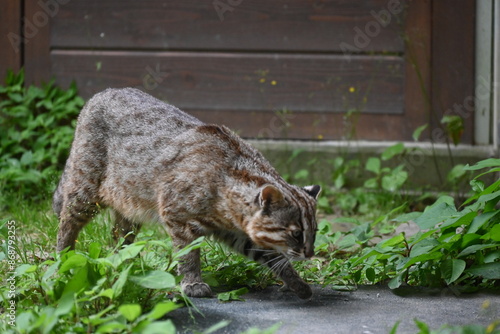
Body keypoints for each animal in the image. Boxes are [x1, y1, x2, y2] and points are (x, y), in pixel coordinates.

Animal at [53, 87, 320, 298]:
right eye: (296, 234)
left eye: (314, 232)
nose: (310, 254)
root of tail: (101, 93)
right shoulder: (177, 217)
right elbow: (188, 255)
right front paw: (192, 283)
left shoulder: (236, 233)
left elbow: (272, 256)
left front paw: (296, 282)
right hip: (85, 189)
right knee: (67, 223)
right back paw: (62, 258)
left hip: (129, 204)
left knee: (119, 237)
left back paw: (124, 265)